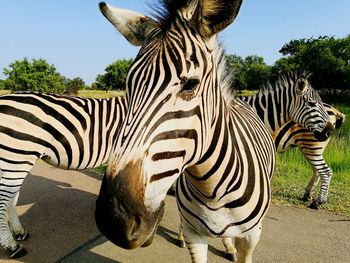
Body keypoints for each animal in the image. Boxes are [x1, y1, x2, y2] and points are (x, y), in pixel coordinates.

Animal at [93, 1, 330, 262]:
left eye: (191, 84)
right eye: (128, 84)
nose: (113, 219)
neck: (212, 188)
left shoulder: (251, 235)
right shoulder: (194, 233)